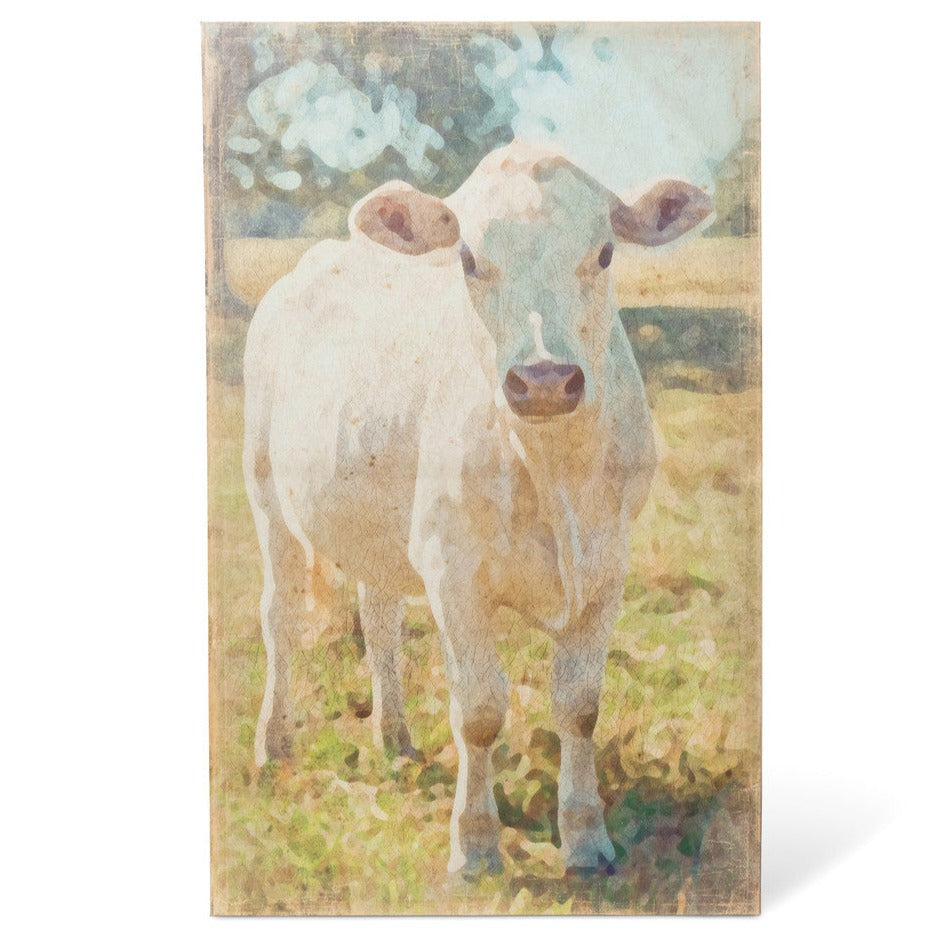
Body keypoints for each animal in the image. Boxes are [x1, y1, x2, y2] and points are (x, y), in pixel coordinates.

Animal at [242, 141, 714, 876]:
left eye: (605, 253)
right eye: (466, 257)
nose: (544, 380)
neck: (549, 469)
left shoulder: (608, 567)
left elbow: (580, 705)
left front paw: (586, 838)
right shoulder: (452, 570)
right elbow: (480, 710)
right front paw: (476, 846)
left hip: (378, 528)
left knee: (380, 623)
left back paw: (396, 738)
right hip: (266, 495)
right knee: (281, 620)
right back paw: (274, 745)